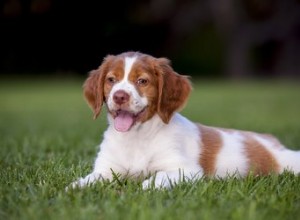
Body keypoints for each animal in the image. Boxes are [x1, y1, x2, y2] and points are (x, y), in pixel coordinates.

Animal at [68, 51, 300, 189]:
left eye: (142, 81)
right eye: (111, 80)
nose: (119, 96)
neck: (137, 138)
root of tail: (270, 140)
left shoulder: (185, 170)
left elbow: (155, 179)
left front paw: (143, 187)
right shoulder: (106, 169)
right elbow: (88, 180)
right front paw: (73, 188)